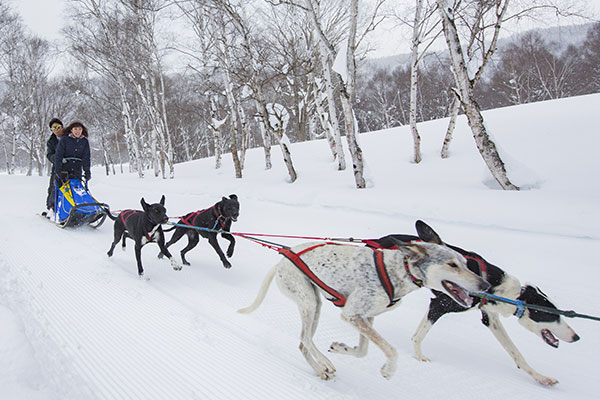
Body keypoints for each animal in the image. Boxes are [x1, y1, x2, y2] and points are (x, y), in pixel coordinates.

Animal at [237, 222, 490, 382]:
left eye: (465, 263)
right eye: (452, 265)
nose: (486, 285)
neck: (398, 270)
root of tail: (280, 262)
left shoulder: (364, 317)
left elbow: (363, 350)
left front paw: (342, 347)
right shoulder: (352, 314)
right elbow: (391, 350)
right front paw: (389, 370)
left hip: (314, 304)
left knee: (302, 343)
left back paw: (320, 369)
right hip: (309, 302)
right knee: (306, 339)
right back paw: (325, 363)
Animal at [368, 220, 580, 386]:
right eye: (552, 315)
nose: (576, 337)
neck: (497, 286)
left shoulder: (490, 318)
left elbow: (515, 352)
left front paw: (540, 377)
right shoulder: (440, 305)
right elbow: (418, 335)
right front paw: (419, 356)